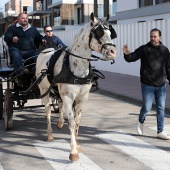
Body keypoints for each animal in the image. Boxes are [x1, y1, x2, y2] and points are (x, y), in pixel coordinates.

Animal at [35, 12, 117, 161]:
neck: (76, 65)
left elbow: (78, 121)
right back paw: (49, 134)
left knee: (59, 104)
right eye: (98, 33)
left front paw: (78, 145)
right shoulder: (68, 96)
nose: (113, 52)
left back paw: (60, 122)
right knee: (48, 110)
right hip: (44, 90)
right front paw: (73, 152)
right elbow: (72, 122)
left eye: (110, 32)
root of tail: (45, 51)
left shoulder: (82, 97)